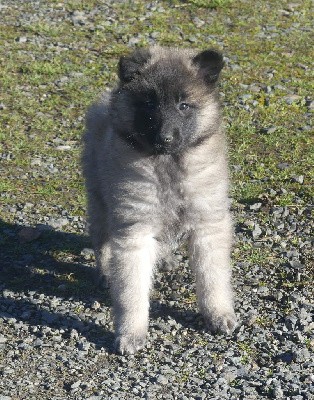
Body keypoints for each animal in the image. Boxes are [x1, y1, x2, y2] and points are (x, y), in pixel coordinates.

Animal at [82, 45, 237, 354]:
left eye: (184, 105)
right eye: (149, 104)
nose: (165, 138)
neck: (169, 165)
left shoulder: (208, 223)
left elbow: (212, 277)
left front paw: (218, 314)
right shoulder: (135, 229)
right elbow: (131, 289)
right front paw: (131, 332)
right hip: (101, 202)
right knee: (102, 241)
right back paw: (106, 272)